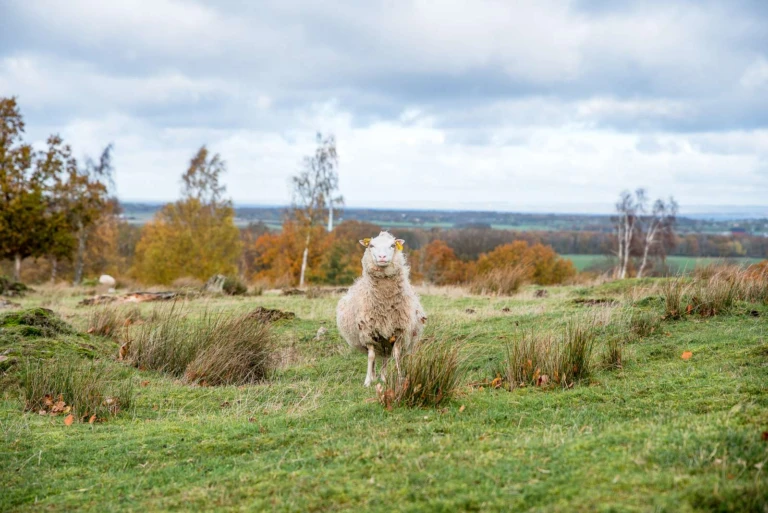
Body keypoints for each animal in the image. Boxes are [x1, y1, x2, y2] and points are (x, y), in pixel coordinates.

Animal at [334, 231, 426, 384]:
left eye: (393, 245)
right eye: (371, 245)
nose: (382, 257)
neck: (385, 303)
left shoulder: (399, 331)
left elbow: (396, 355)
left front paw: (400, 379)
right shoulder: (368, 331)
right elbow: (371, 357)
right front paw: (367, 381)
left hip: (386, 340)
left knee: (385, 357)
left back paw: (383, 378)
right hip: (375, 338)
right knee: (376, 356)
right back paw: (373, 376)